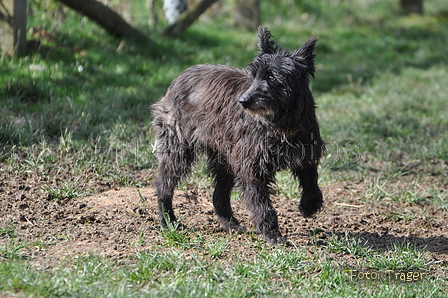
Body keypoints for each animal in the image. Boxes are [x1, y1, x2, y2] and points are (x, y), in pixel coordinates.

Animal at [152, 26, 324, 243]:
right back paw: (168, 221)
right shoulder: (251, 167)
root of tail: (179, 78)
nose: (243, 101)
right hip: (178, 149)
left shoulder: (307, 156)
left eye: (271, 77)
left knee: (219, 195)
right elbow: (263, 206)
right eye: (254, 75)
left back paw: (230, 225)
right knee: (164, 184)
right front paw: (272, 234)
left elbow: (312, 185)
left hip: (224, 159)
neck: (282, 126)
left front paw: (308, 207)